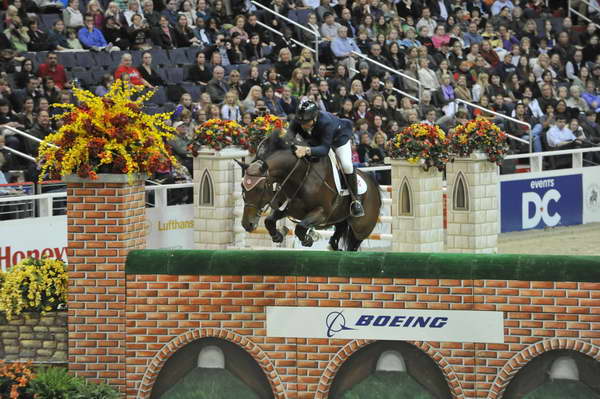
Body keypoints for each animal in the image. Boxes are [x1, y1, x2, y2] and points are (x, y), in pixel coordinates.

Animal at [238, 130, 382, 252]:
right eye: (242, 187)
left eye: (261, 188)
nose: (247, 224)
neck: (299, 176)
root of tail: (372, 182)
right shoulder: (286, 208)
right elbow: (269, 221)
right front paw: (278, 236)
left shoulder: (321, 212)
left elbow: (300, 228)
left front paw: (308, 239)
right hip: (341, 218)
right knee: (338, 233)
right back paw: (333, 245)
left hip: (361, 228)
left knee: (353, 245)